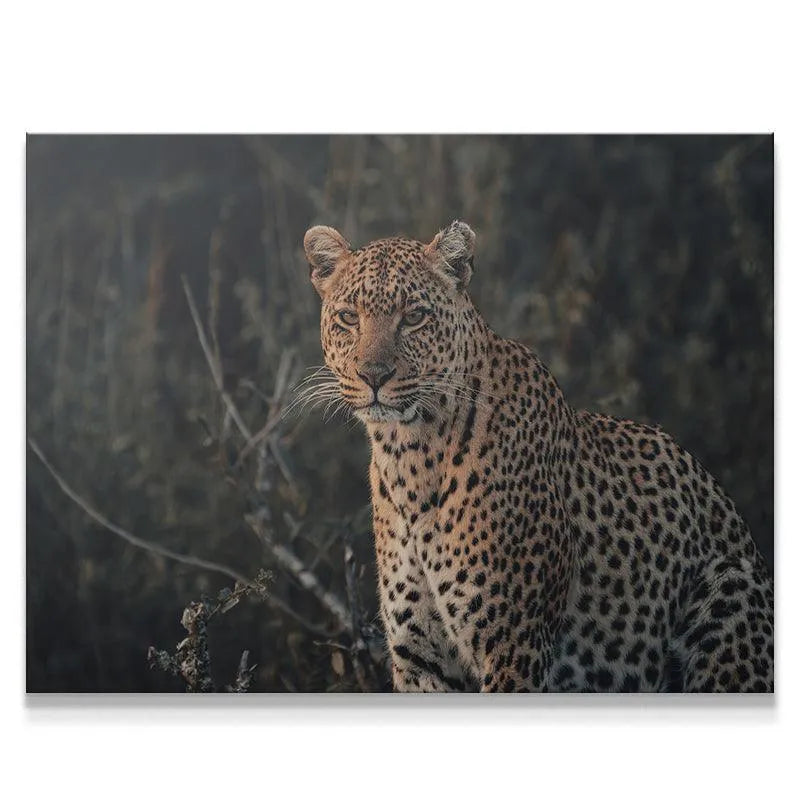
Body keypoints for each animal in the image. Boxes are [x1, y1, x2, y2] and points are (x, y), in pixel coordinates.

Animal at [302, 219, 774, 692]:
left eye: (414, 317)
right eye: (348, 317)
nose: (373, 375)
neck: (410, 456)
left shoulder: (515, 645)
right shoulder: (421, 660)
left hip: (729, 598)